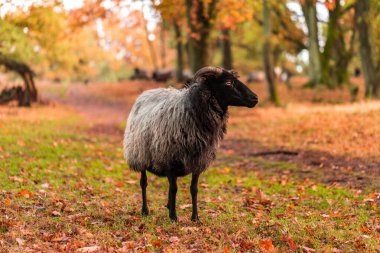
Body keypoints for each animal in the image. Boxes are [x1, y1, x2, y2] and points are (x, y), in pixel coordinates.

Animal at [124, 65, 258, 221]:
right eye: (228, 83)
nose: (255, 98)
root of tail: (147, 92)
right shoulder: (169, 159)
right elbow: (174, 189)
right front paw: (173, 217)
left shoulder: (198, 160)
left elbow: (193, 189)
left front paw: (195, 217)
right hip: (140, 155)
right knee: (144, 183)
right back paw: (145, 210)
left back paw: (168, 206)